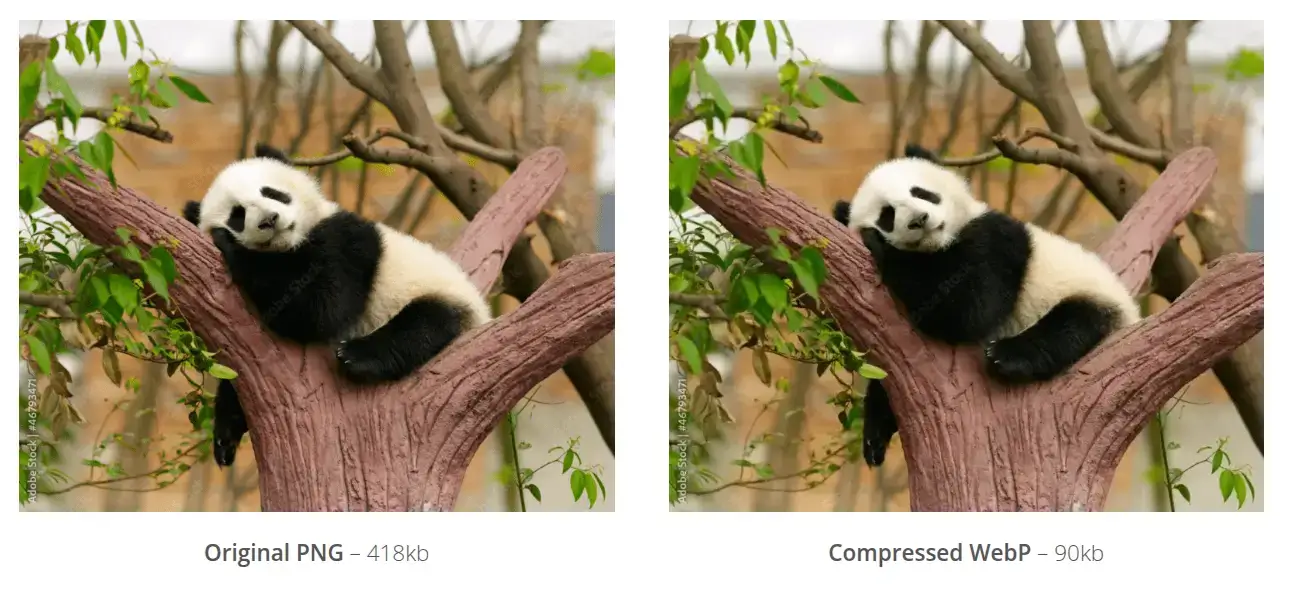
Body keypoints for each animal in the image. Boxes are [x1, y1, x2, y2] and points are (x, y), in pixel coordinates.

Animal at [182, 143, 491, 466]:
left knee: (425, 324)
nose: (269, 219)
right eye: (238, 215)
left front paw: (230, 246)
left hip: (439, 294)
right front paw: (226, 431)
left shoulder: (348, 239)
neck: (291, 245)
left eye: (272, 193)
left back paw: (358, 355)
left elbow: (320, 309)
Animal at [832, 144, 1140, 467]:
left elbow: (968, 309)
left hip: (1088, 294)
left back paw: (1007, 355)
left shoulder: (997, 239)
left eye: (921, 192)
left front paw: (879, 245)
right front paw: (874, 433)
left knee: (1071, 325)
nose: (919, 219)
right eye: (887, 214)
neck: (940, 246)